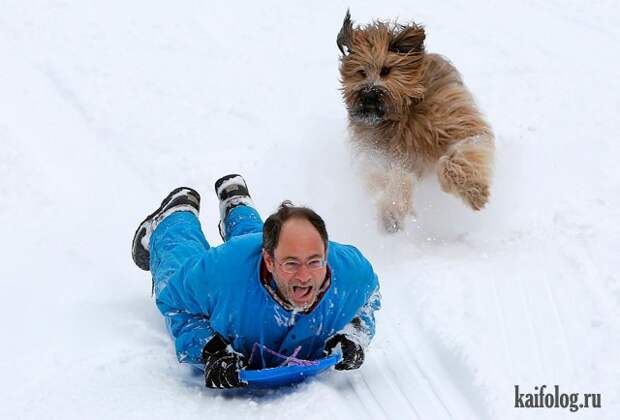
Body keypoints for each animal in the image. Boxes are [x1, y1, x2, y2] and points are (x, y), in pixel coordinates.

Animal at [340, 10, 494, 233]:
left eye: (386, 70)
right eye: (361, 72)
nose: (368, 94)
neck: (404, 113)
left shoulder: (454, 122)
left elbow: (460, 153)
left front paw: (473, 190)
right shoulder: (381, 154)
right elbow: (396, 179)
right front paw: (391, 212)